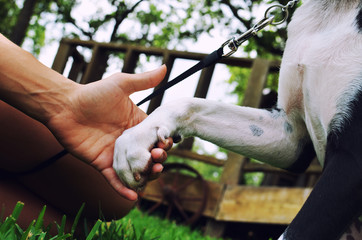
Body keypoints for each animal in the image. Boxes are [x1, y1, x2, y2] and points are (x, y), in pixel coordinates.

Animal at [113, 0, 362, 239]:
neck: (337, 8)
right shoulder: (291, 135)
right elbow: (192, 104)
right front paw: (135, 139)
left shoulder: (350, 161)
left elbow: (293, 233)